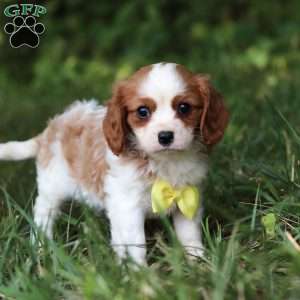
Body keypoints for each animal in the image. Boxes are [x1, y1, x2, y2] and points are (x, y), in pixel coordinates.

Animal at [0, 63, 229, 264]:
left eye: (184, 108)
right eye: (143, 112)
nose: (165, 136)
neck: (164, 161)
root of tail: (50, 129)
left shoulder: (188, 197)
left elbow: (189, 235)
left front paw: (198, 263)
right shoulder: (129, 207)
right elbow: (137, 244)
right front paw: (141, 275)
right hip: (52, 187)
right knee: (43, 216)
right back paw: (40, 249)